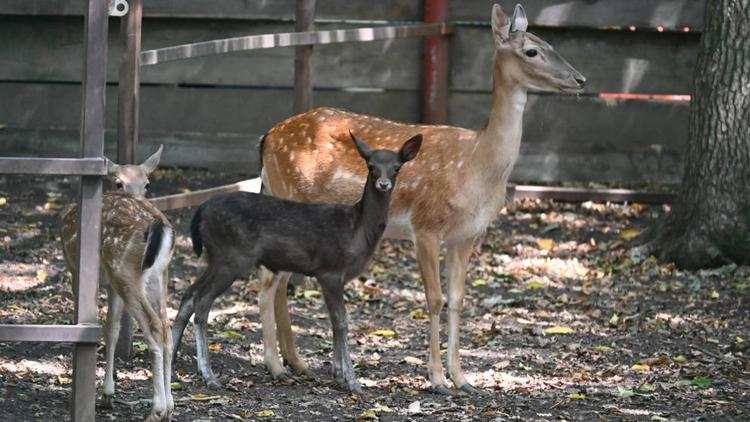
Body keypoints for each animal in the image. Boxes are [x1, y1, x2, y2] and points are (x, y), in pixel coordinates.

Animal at [60, 144, 176, 418]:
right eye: (119, 183)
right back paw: (170, 407)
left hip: (124, 272)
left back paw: (157, 409)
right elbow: (111, 328)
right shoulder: (112, 285)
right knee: (167, 329)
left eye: (147, 184)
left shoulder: (76, 269)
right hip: (157, 277)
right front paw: (107, 394)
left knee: (154, 327)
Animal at [260, 2, 588, 396]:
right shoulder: (426, 225)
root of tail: (266, 138)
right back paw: (275, 366)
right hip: (288, 196)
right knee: (267, 282)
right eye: (531, 51)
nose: (580, 80)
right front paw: (436, 379)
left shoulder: (467, 235)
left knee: (279, 282)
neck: (476, 163)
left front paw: (463, 378)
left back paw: (297, 362)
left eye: (550, 42)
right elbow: (434, 299)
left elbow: (458, 300)